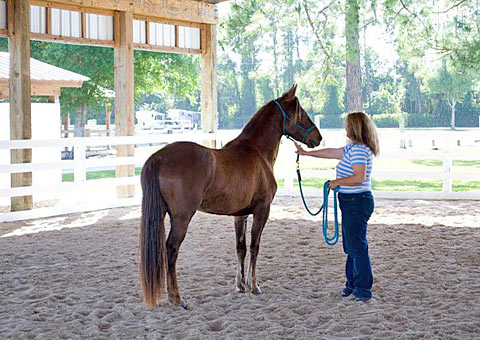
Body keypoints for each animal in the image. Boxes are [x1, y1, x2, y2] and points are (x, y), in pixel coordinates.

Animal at [138, 85, 322, 308]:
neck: (257, 152)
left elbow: (240, 248)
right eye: (301, 112)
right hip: (181, 218)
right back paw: (177, 297)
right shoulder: (262, 211)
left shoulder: (240, 215)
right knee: (171, 250)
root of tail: (159, 157)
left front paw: (241, 284)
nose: (318, 138)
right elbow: (254, 246)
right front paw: (254, 286)